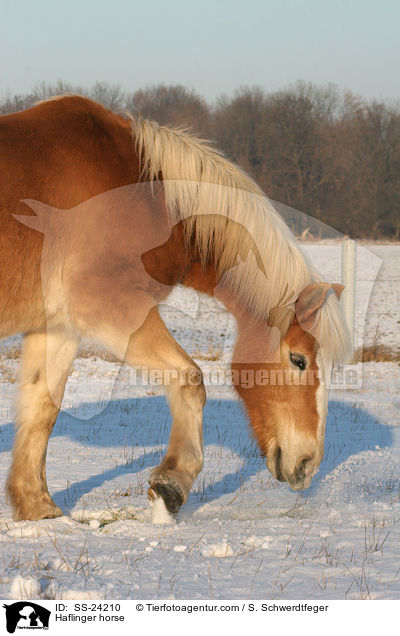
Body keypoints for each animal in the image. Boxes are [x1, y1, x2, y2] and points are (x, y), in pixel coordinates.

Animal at [0, 94, 350, 520]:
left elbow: (41, 407)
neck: (150, 195)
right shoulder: (111, 307)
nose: (308, 463)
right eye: (298, 360)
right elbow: (189, 379)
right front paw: (171, 486)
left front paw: (39, 511)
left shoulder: (58, 326)